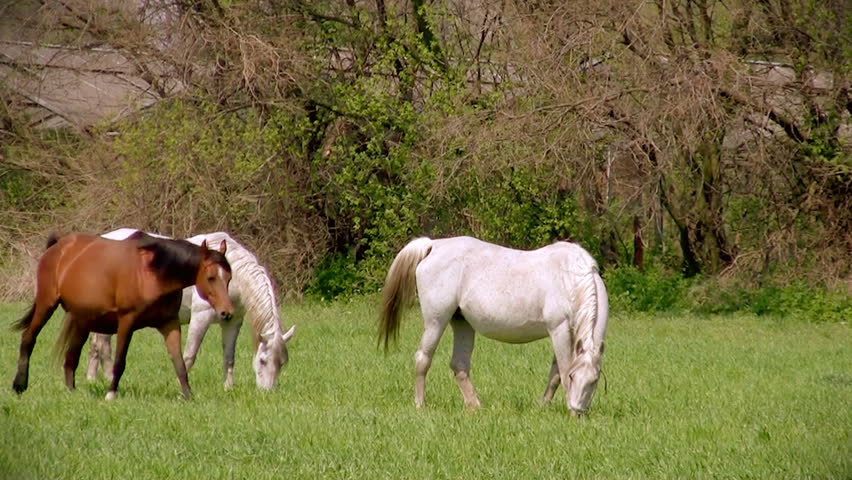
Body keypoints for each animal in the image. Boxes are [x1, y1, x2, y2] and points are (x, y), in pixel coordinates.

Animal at [12, 231, 233, 400]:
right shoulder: (127, 321)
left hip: (82, 321)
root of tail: (58, 246)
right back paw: (19, 385)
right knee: (28, 339)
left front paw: (187, 395)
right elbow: (120, 360)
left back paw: (71, 392)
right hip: (46, 305)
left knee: (70, 358)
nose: (227, 312)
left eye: (229, 278)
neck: (152, 273)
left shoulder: (169, 323)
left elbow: (179, 362)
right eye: (210, 277)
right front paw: (111, 394)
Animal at [89, 228, 295, 390]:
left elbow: (229, 357)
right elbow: (189, 355)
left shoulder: (232, 322)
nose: (267, 392)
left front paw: (228, 388)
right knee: (102, 345)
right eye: (262, 360)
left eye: (282, 363)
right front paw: (180, 388)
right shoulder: (200, 318)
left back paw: (92, 379)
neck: (231, 280)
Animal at [379, 236, 609, 416]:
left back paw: (475, 406)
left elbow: (554, 375)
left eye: (595, 381)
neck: (570, 278)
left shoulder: (565, 333)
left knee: (459, 365)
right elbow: (562, 369)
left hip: (462, 323)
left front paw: (542, 406)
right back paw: (420, 405)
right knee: (423, 359)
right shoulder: (558, 330)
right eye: (573, 377)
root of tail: (433, 245)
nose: (577, 412)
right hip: (436, 321)